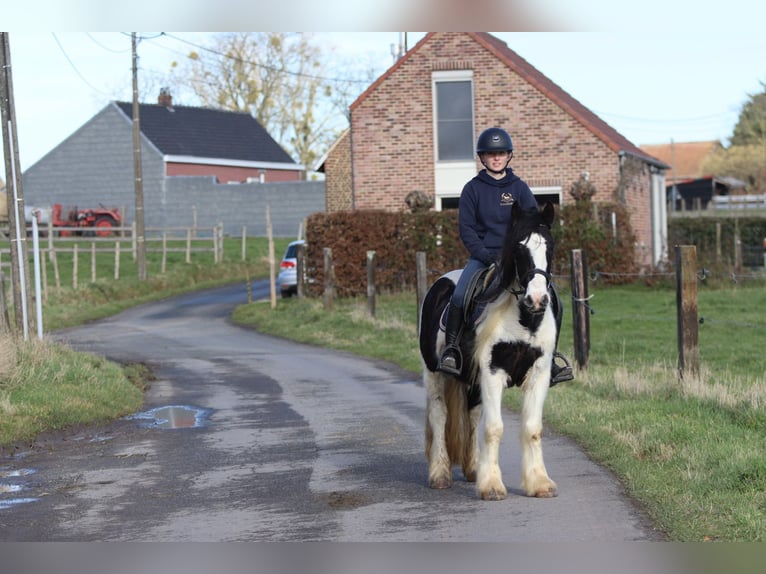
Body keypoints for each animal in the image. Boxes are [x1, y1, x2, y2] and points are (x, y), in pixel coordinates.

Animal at [418, 201, 559, 501]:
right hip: (434, 373)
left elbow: (532, 429)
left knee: (471, 416)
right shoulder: (493, 372)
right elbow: (494, 428)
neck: (524, 319)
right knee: (439, 415)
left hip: (471, 382)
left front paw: (540, 483)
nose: (537, 299)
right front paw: (492, 486)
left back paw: (473, 469)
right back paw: (440, 474)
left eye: (549, 247)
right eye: (518, 248)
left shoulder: (539, 374)